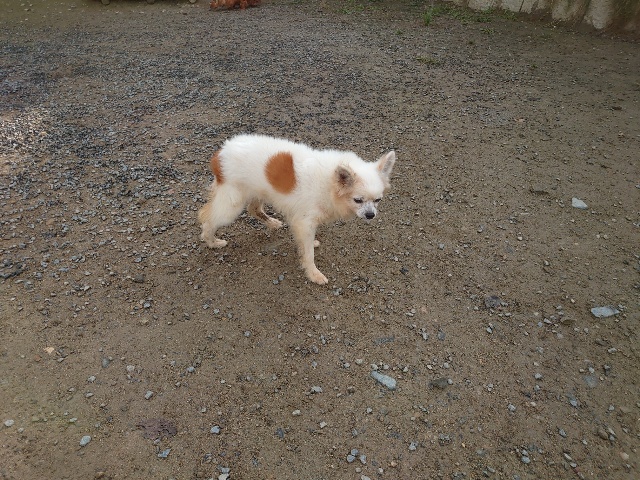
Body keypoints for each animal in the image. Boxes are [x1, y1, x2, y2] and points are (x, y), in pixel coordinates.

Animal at [198, 134, 396, 284]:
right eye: (358, 200)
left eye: (377, 200)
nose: (370, 215)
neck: (329, 183)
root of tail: (221, 152)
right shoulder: (304, 222)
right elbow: (308, 254)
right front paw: (314, 274)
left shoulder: (304, 222)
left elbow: (306, 243)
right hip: (232, 205)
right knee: (208, 219)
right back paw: (212, 241)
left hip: (257, 192)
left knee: (253, 209)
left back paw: (272, 223)